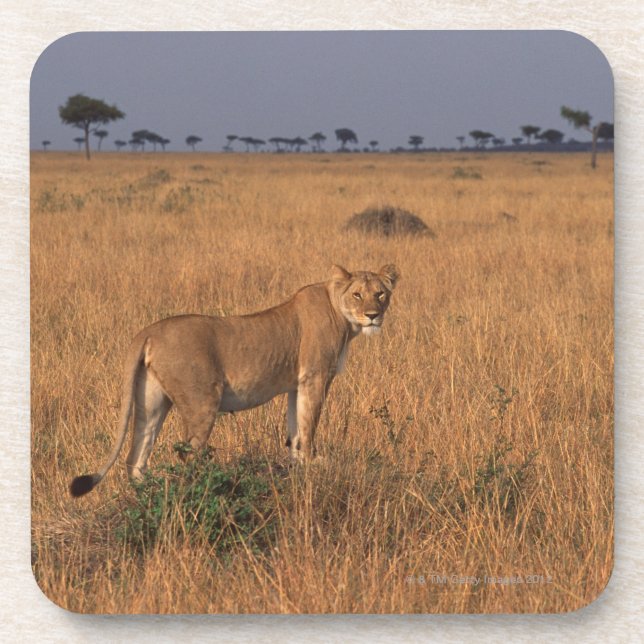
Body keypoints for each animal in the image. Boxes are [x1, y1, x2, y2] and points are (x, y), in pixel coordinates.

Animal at [70, 264, 399, 497]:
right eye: (357, 294)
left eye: (380, 293)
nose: (373, 315)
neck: (340, 312)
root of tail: (148, 331)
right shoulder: (315, 377)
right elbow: (309, 425)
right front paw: (312, 465)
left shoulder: (296, 384)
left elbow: (295, 427)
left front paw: (297, 464)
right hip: (202, 401)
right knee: (186, 453)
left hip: (151, 402)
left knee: (136, 458)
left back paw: (146, 497)